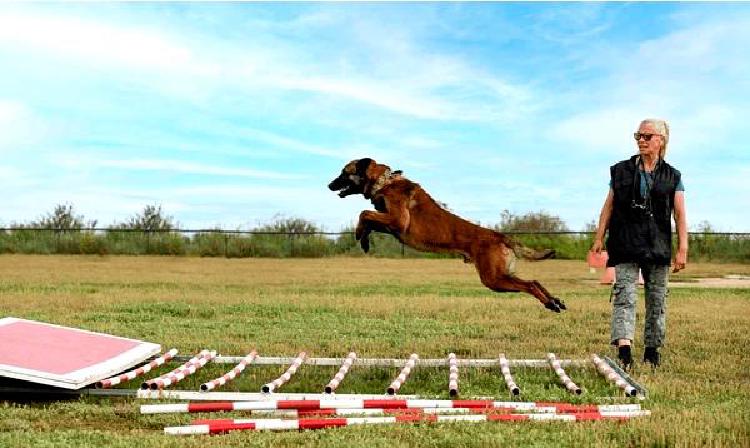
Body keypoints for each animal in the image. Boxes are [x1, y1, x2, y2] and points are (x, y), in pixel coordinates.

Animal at [328, 159, 568, 314]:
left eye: (344, 172)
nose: (329, 185)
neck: (386, 181)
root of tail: (501, 236)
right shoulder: (391, 225)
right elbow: (369, 220)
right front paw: (364, 239)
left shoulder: (398, 221)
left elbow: (364, 213)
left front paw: (359, 234)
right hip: (501, 276)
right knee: (534, 281)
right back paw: (554, 301)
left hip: (493, 279)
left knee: (530, 285)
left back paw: (550, 304)